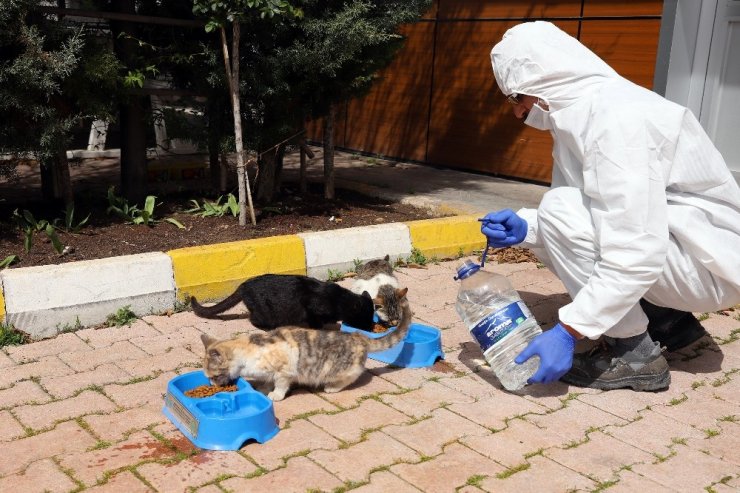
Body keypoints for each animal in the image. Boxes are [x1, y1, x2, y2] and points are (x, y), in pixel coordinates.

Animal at [189, 272, 376, 330]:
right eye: (365, 318)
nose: (371, 327)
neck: (338, 300)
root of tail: (243, 285)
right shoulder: (311, 306)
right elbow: (315, 320)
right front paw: (320, 327)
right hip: (265, 313)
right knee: (253, 319)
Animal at [199, 288, 414, 400]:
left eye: (214, 376)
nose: (212, 385)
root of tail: (359, 336)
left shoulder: (284, 370)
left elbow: (280, 384)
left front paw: (275, 395)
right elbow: (267, 381)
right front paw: (263, 389)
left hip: (339, 369)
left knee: (352, 376)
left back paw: (332, 387)